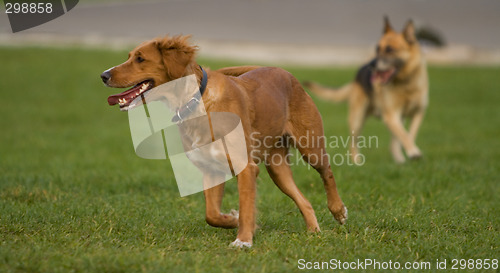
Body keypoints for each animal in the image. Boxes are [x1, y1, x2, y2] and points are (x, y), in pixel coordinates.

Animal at [304, 17, 430, 164]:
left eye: (390, 49)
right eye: (377, 48)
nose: (372, 64)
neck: (406, 83)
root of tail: (356, 76)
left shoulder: (418, 112)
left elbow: (409, 134)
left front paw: (411, 151)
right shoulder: (391, 115)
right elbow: (403, 134)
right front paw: (413, 152)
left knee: (393, 141)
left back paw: (399, 159)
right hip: (357, 118)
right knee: (353, 143)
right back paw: (356, 162)